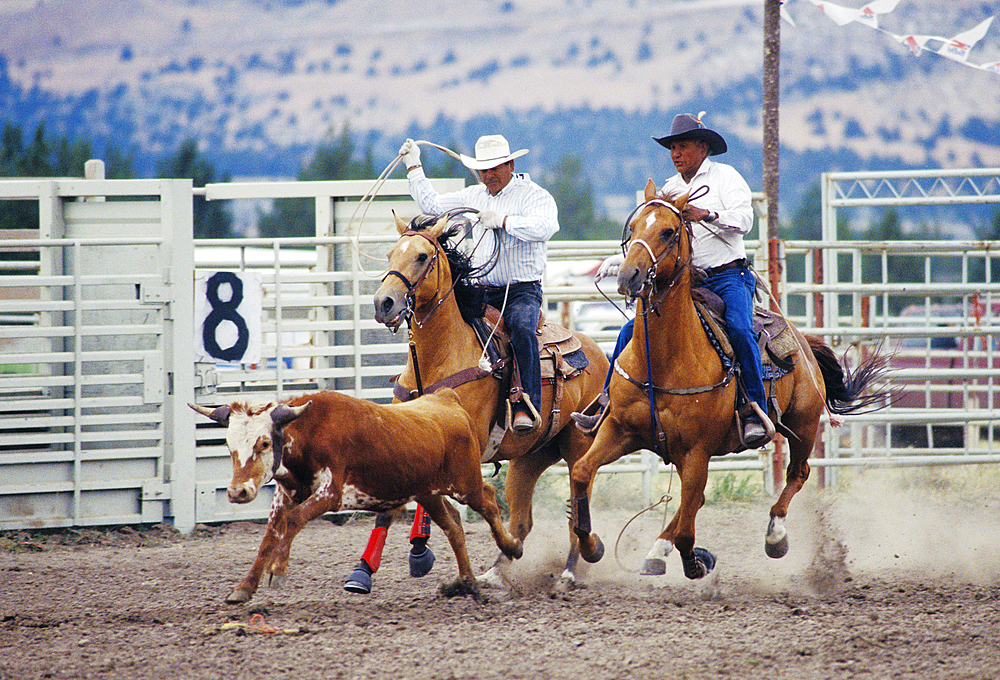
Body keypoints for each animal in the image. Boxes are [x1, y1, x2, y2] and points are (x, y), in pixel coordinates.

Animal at [190, 388, 528, 604]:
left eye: (263, 443)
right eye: (229, 445)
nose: (238, 492)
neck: (308, 433)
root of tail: (447, 398)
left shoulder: (331, 493)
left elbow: (294, 521)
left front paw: (279, 570)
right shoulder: (285, 494)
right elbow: (270, 536)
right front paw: (244, 588)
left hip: (465, 482)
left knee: (488, 501)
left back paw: (512, 547)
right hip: (427, 491)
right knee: (454, 525)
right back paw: (467, 583)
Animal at [372, 210, 608, 588]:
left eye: (422, 256)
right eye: (391, 254)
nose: (384, 303)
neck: (440, 358)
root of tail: (594, 350)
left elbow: (473, 501)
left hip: (578, 446)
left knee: (576, 506)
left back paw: (571, 569)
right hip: (530, 457)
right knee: (522, 519)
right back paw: (495, 572)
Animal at [568, 181, 888, 580]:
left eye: (668, 231)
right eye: (635, 227)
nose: (628, 276)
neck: (665, 360)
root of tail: (804, 342)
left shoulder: (697, 450)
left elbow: (689, 530)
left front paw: (696, 561)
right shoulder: (619, 429)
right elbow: (582, 472)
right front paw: (591, 545)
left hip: (803, 423)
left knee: (796, 473)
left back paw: (775, 536)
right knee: (694, 500)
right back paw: (657, 551)